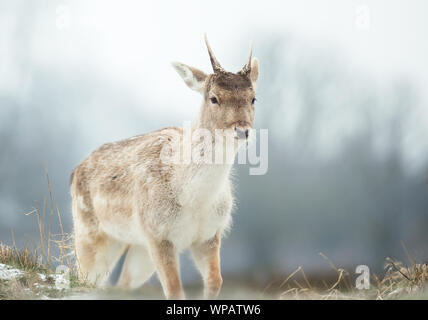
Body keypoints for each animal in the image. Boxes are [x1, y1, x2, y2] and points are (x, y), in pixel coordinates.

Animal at [71, 36, 258, 298]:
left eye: (253, 98)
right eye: (214, 98)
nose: (242, 130)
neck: (194, 200)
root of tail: (75, 171)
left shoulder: (210, 234)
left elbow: (215, 282)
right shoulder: (158, 233)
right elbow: (174, 289)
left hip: (137, 247)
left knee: (122, 284)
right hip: (90, 233)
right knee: (85, 278)